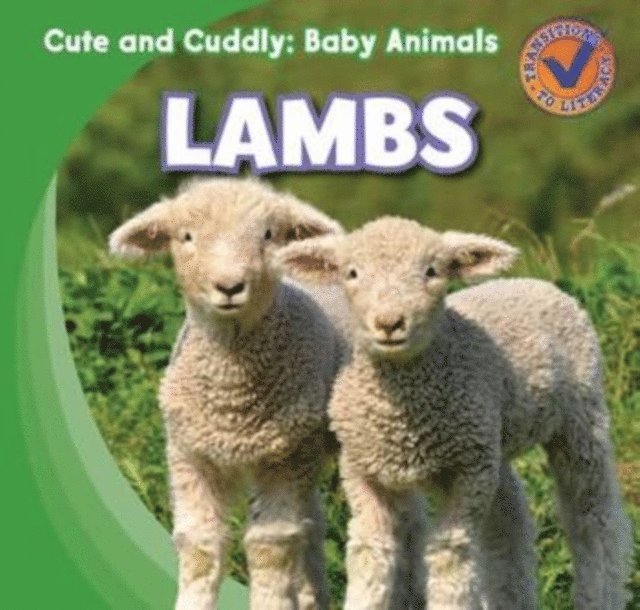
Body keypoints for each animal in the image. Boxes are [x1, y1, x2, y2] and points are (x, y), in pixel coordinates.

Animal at [109, 177, 346, 610]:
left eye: (268, 234)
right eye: (186, 236)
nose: (230, 286)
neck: (232, 400)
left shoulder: (283, 460)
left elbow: (270, 546)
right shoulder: (190, 455)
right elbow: (200, 546)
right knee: (312, 525)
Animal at [277, 216, 632, 610]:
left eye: (432, 271)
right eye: (352, 273)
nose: (389, 323)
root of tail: (534, 283)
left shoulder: (468, 473)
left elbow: (450, 556)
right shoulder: (362, 471)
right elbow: (371, 554)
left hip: (580, 417)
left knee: (593, 517)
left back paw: (599, 591)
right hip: (492, 442)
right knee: (508, 521)